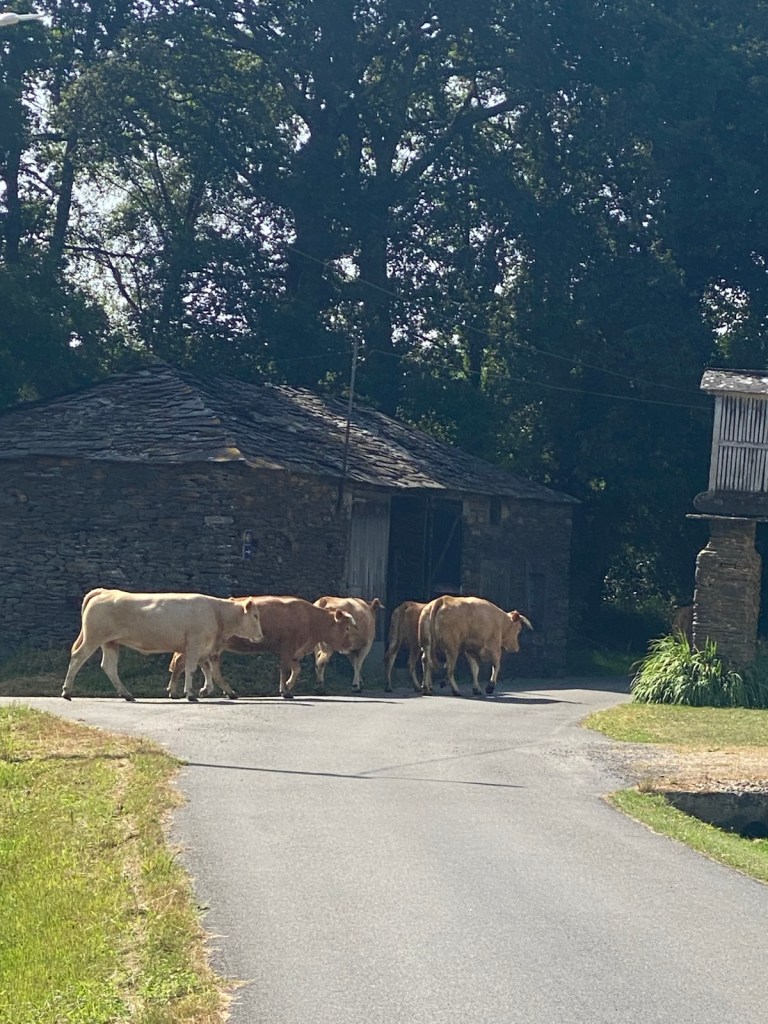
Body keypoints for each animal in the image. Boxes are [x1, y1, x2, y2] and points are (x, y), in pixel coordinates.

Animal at [61, 588, 264, 703]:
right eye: (255, 616)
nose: (261, 636)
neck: (216, 613)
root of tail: (104, 591)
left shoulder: (202, 648)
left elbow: (206, 669)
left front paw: (204, 689)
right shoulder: (195, 644)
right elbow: (191, 669)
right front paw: (190, 693)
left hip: (110, 643)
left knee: (109, 667)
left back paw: (127, 694)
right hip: (93, 638)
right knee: (78, 657)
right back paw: (67, 691)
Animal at [168, 595, 357, 700]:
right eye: (347, 628)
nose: (350, 647)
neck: (309, 618)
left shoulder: (293, 651)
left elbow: (296, 669)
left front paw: (287, 686)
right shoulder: (287, 648)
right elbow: (285, 669)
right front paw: (285, 690)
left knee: (210, 668)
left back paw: (227, 692)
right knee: (183, 663)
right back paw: (175, 691)